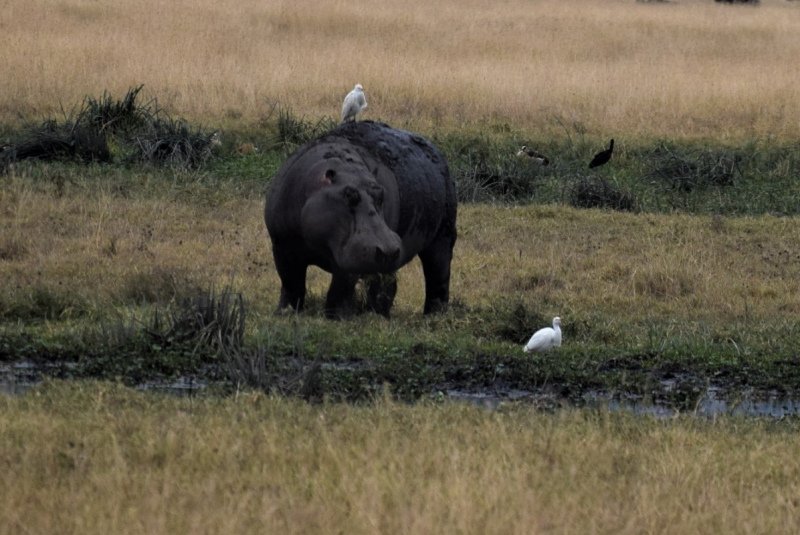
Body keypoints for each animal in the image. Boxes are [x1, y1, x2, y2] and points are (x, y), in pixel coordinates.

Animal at [265, 120, 457, 318]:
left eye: (381, 193)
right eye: (349, 195)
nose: (388, 249)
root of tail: (437, 152)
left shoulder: (349, 256)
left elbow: (340, 289)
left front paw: (335, 317)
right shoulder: (282, 246)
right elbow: (291, 283)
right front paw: (284, 312)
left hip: (442, 236)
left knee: (438, 275)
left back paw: (434, 315)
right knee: (387, 284)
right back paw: (379, 313)